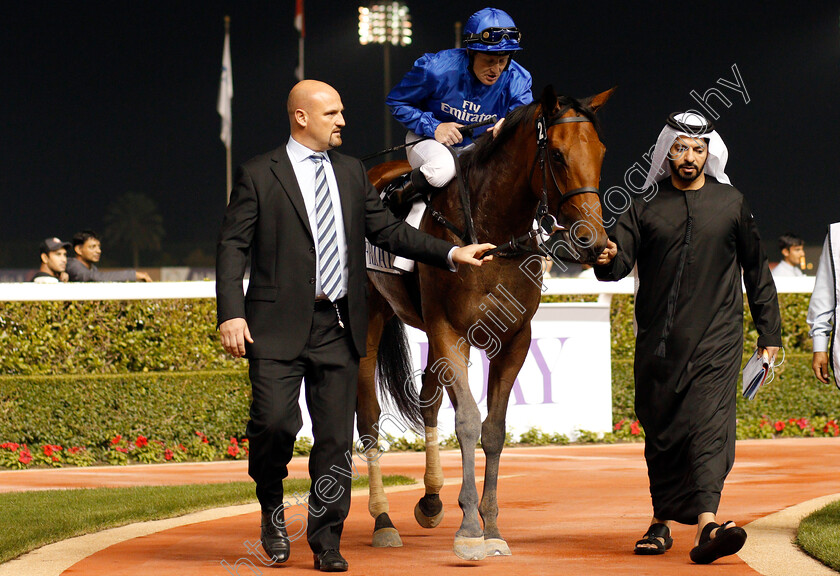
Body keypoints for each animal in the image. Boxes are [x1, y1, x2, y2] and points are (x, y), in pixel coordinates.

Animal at [358, 84, 612, 560]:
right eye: (557, 156)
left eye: (601, 152)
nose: (594, 242)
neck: (491, 234)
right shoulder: (449, 331)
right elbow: (469, 422)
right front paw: (470, 530)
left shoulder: (513, 339)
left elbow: (493, 428)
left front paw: (490, 525)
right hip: (369, 318)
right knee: (368, 417)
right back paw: (383, 520)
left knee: (428, 399)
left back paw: (431, 501)